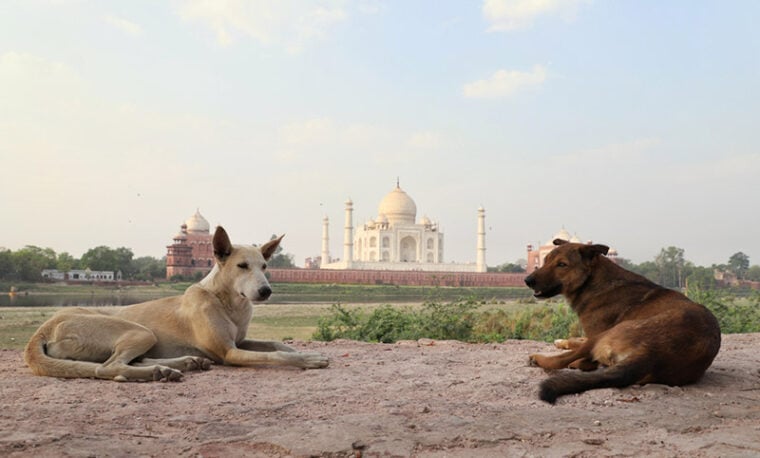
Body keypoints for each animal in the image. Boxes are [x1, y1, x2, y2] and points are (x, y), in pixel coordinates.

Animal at [524, 238, 720, 402]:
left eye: (562, 264)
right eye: (545, 260)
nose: (527, 280)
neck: (592, 282)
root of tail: (651, 353)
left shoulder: (596, 333)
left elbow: (581, 354)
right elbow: (576, 340)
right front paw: (562, 341)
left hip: (613, 331)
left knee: (565, 361)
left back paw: (541, 359)